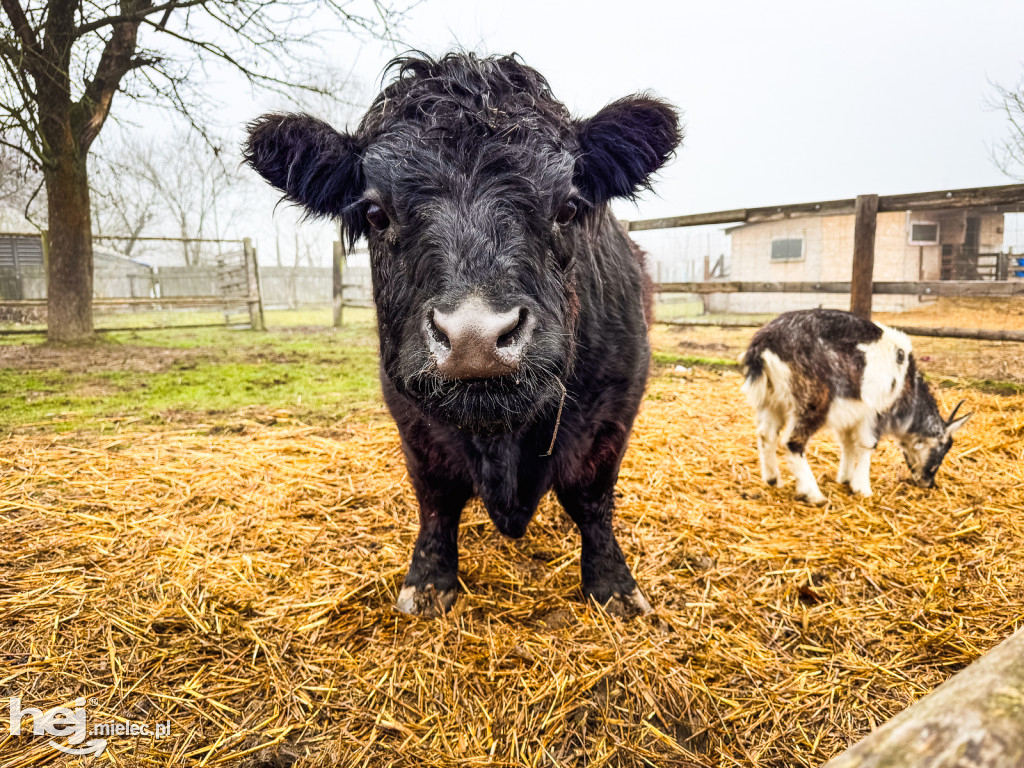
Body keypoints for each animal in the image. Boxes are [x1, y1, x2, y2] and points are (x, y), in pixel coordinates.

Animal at [244, 52, 684, 618]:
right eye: (375, 213)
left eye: (567, 206)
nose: (475, 336)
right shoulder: (412, 416)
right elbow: (437, 499)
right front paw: (429, 582)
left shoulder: (612, 411)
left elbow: (590, 500)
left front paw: (613, 587)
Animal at [745, 309, 966, 507]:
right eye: (943, 448)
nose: (929, 483)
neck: (907, 384)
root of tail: (764, 345)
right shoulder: (875, 413)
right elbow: (867, 446)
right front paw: (863, 489)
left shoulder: (851, 413)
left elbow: (847, 444)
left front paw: (845, 478)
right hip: (812, 402)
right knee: (793, 442)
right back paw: (814, 495)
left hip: (771, 401)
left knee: (766, 435)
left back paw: (773, 480)